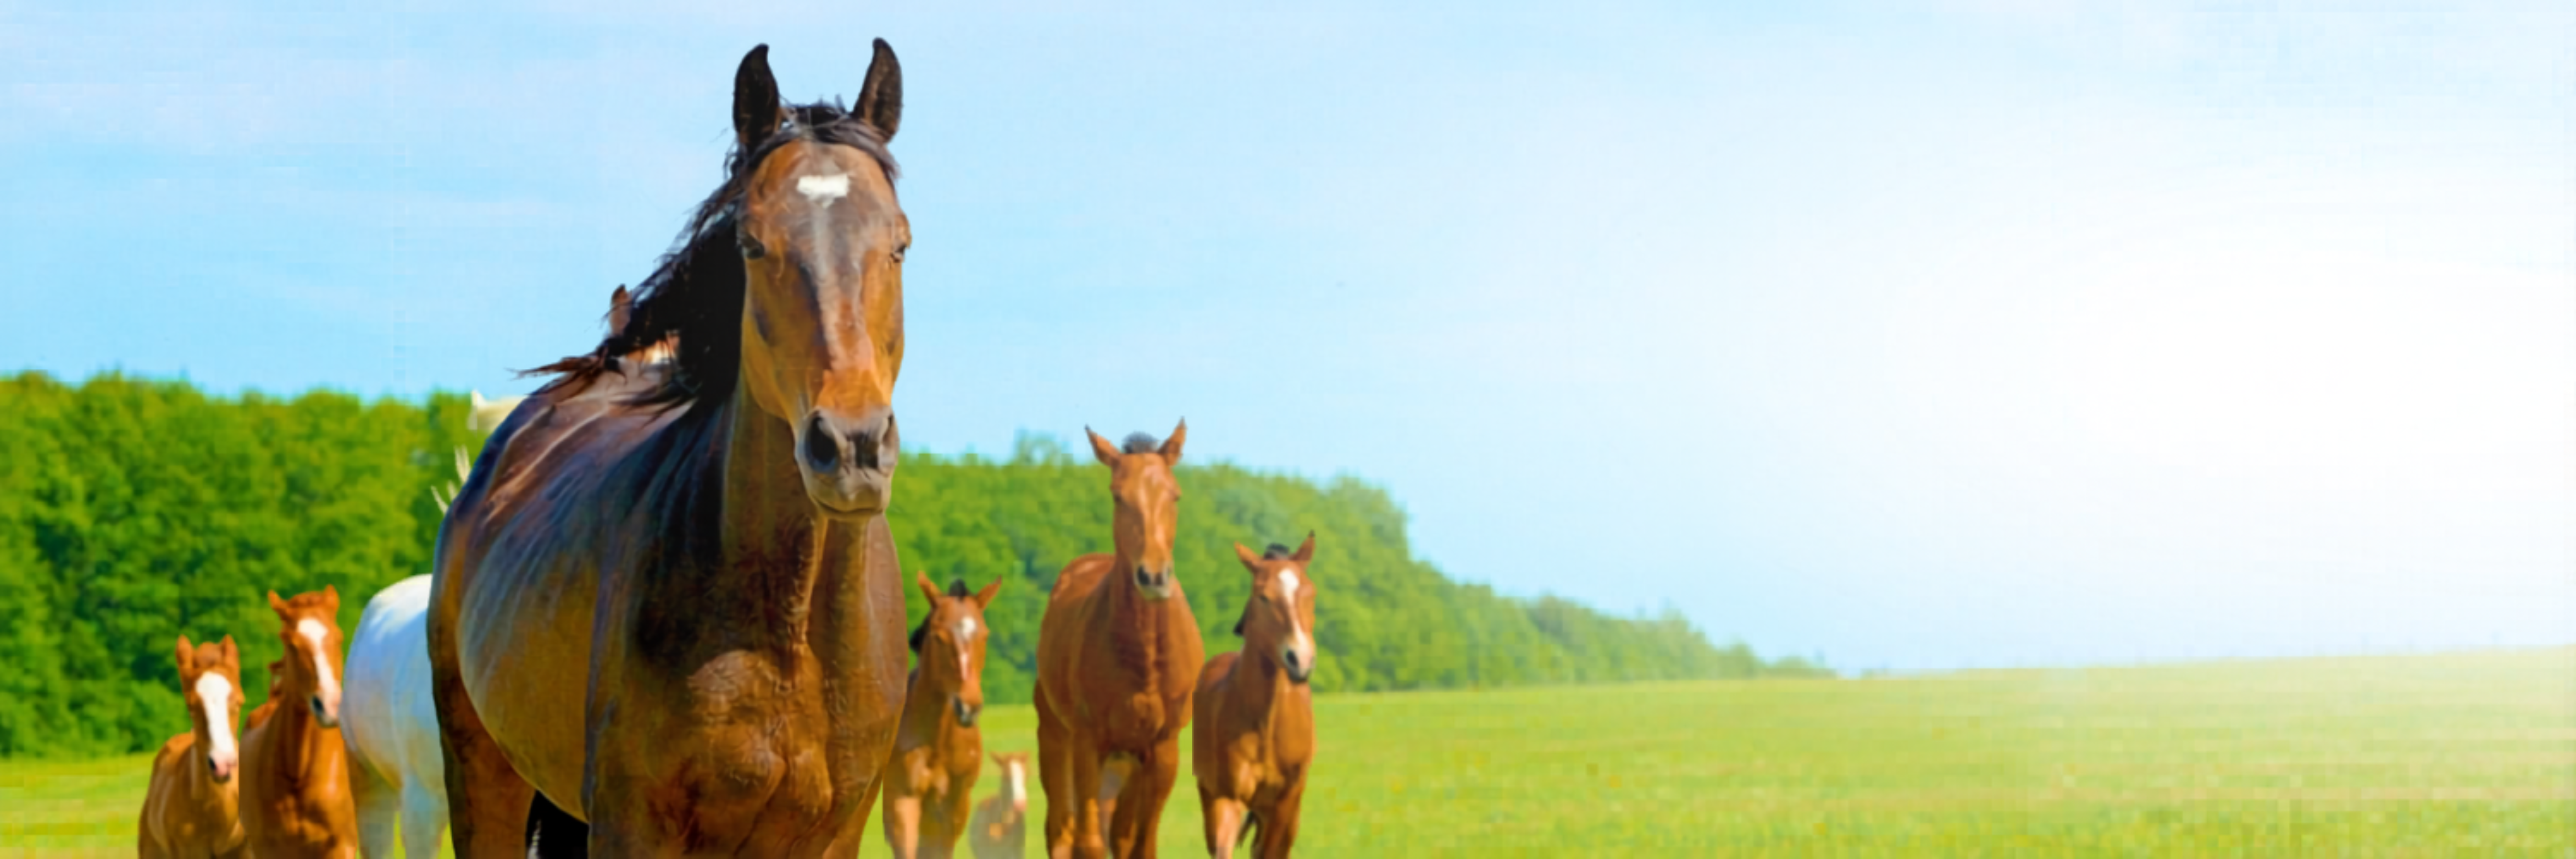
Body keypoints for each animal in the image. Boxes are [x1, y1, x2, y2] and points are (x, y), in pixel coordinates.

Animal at [241, 588, 361, 858]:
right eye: (292, 644)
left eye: (339, 638)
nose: (329, 706)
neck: (299, 772)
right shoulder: (269, 848)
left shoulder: (341, 845)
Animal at [427, 40, 917, 857]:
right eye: (753, 244)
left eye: (900, 244)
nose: (850, 449)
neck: (787, 631)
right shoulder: (633, 824)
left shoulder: (833, 832)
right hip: (481, 773)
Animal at [883, 575, 1002, 859]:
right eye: (938, 637)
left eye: (985, 636)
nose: (968, 707)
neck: (937, 743)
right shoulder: (902, 800)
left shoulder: (952, 807)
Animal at [1034, 424, 1206, 859]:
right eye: (1118, 495)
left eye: (1175, 494)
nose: (1153, 576)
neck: (1144, 657)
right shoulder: (1087, 742)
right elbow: (1089, 842)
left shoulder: (1162, 750)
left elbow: (1141, 843)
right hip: (1057, 739)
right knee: (1061, 829)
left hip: (1126, 763)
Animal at [1191, 537, 1320, 859]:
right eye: (1263, 596)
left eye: (1310, 592)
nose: (1301, 660)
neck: (1266, 725)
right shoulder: (1228, 798)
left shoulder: (1285, 803)